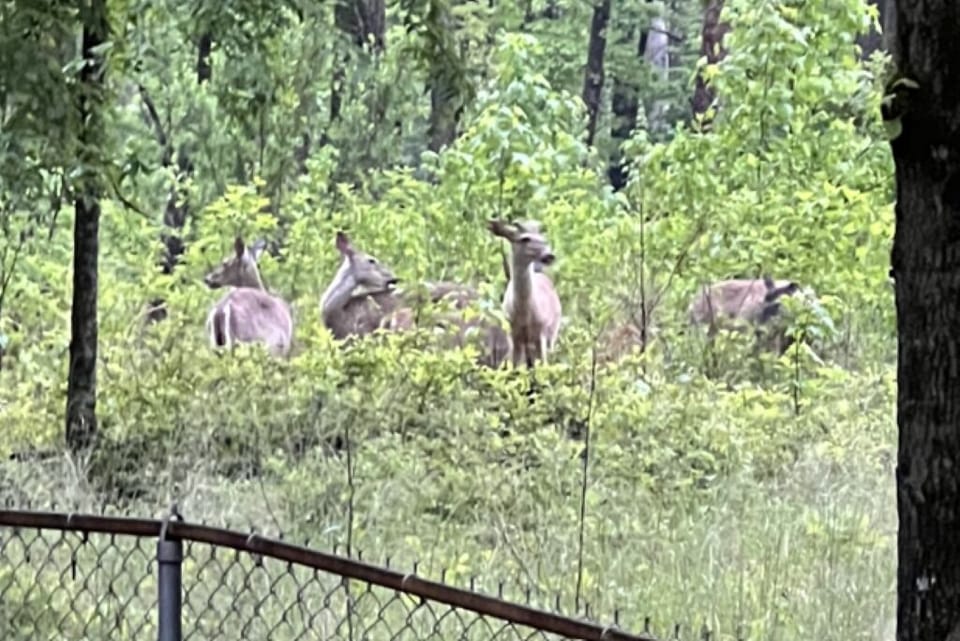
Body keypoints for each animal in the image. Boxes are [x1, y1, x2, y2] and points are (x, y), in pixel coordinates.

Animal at [486, 219, 562, 368]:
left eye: (543, 238)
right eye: (525, 239)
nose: (549, 255)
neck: (524, 313)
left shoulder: (541, 331)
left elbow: (543, 367)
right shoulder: (514, 335)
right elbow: (515, 367)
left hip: (552, 331)